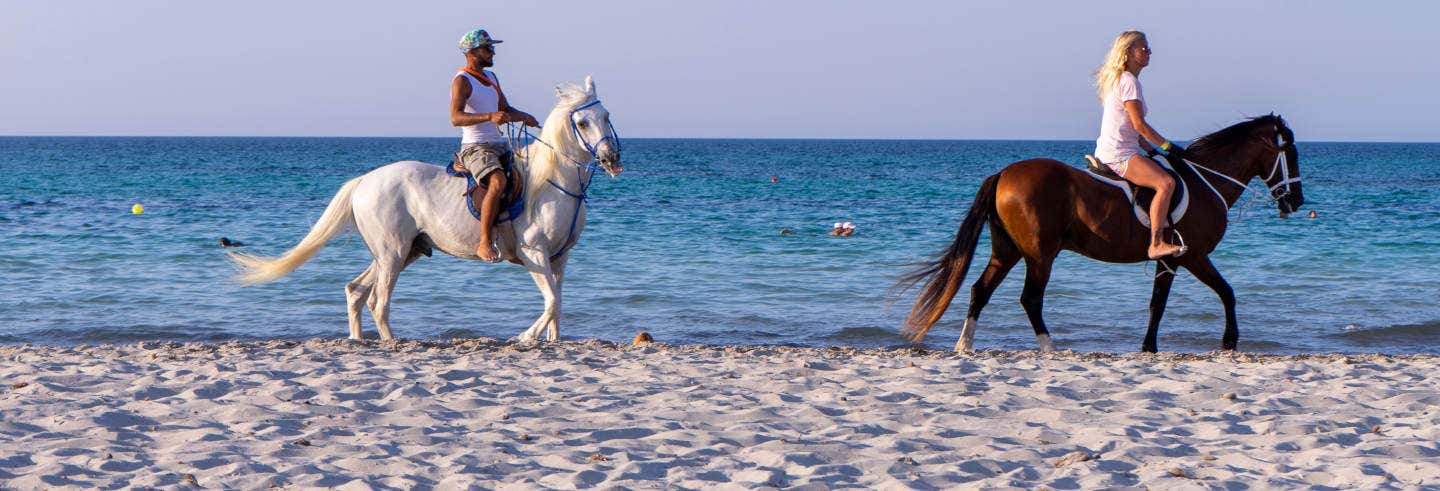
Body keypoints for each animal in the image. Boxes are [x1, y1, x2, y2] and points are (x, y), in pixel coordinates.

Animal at [230, 78, 619, 342]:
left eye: (606, 115)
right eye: (582, 123)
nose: (612, 159)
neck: (552, 183)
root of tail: (364, 181)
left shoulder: (558, 258)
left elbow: (558, 304)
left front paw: (551, 342)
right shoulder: (534, 253)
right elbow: (551, 302)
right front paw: (524, 337)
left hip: (402, 251)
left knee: (356, 291)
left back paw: (357, 341)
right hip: (392, 252)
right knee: (378, 301)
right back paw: (390, 343)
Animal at [910, 114, 1307, 351]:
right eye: (1291, 152)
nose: (1298, 201)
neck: (1205, 180)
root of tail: (1004, 174)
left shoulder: (1174, 260)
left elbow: (1159, 303)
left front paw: (1149, 347)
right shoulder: (1193, 255)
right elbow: (1223, 293)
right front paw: (1228, 341)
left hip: (1007, 250)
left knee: (981, 290)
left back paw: (965, 345)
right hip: (1039, 254)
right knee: (1031, 298)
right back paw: (1050, 348)